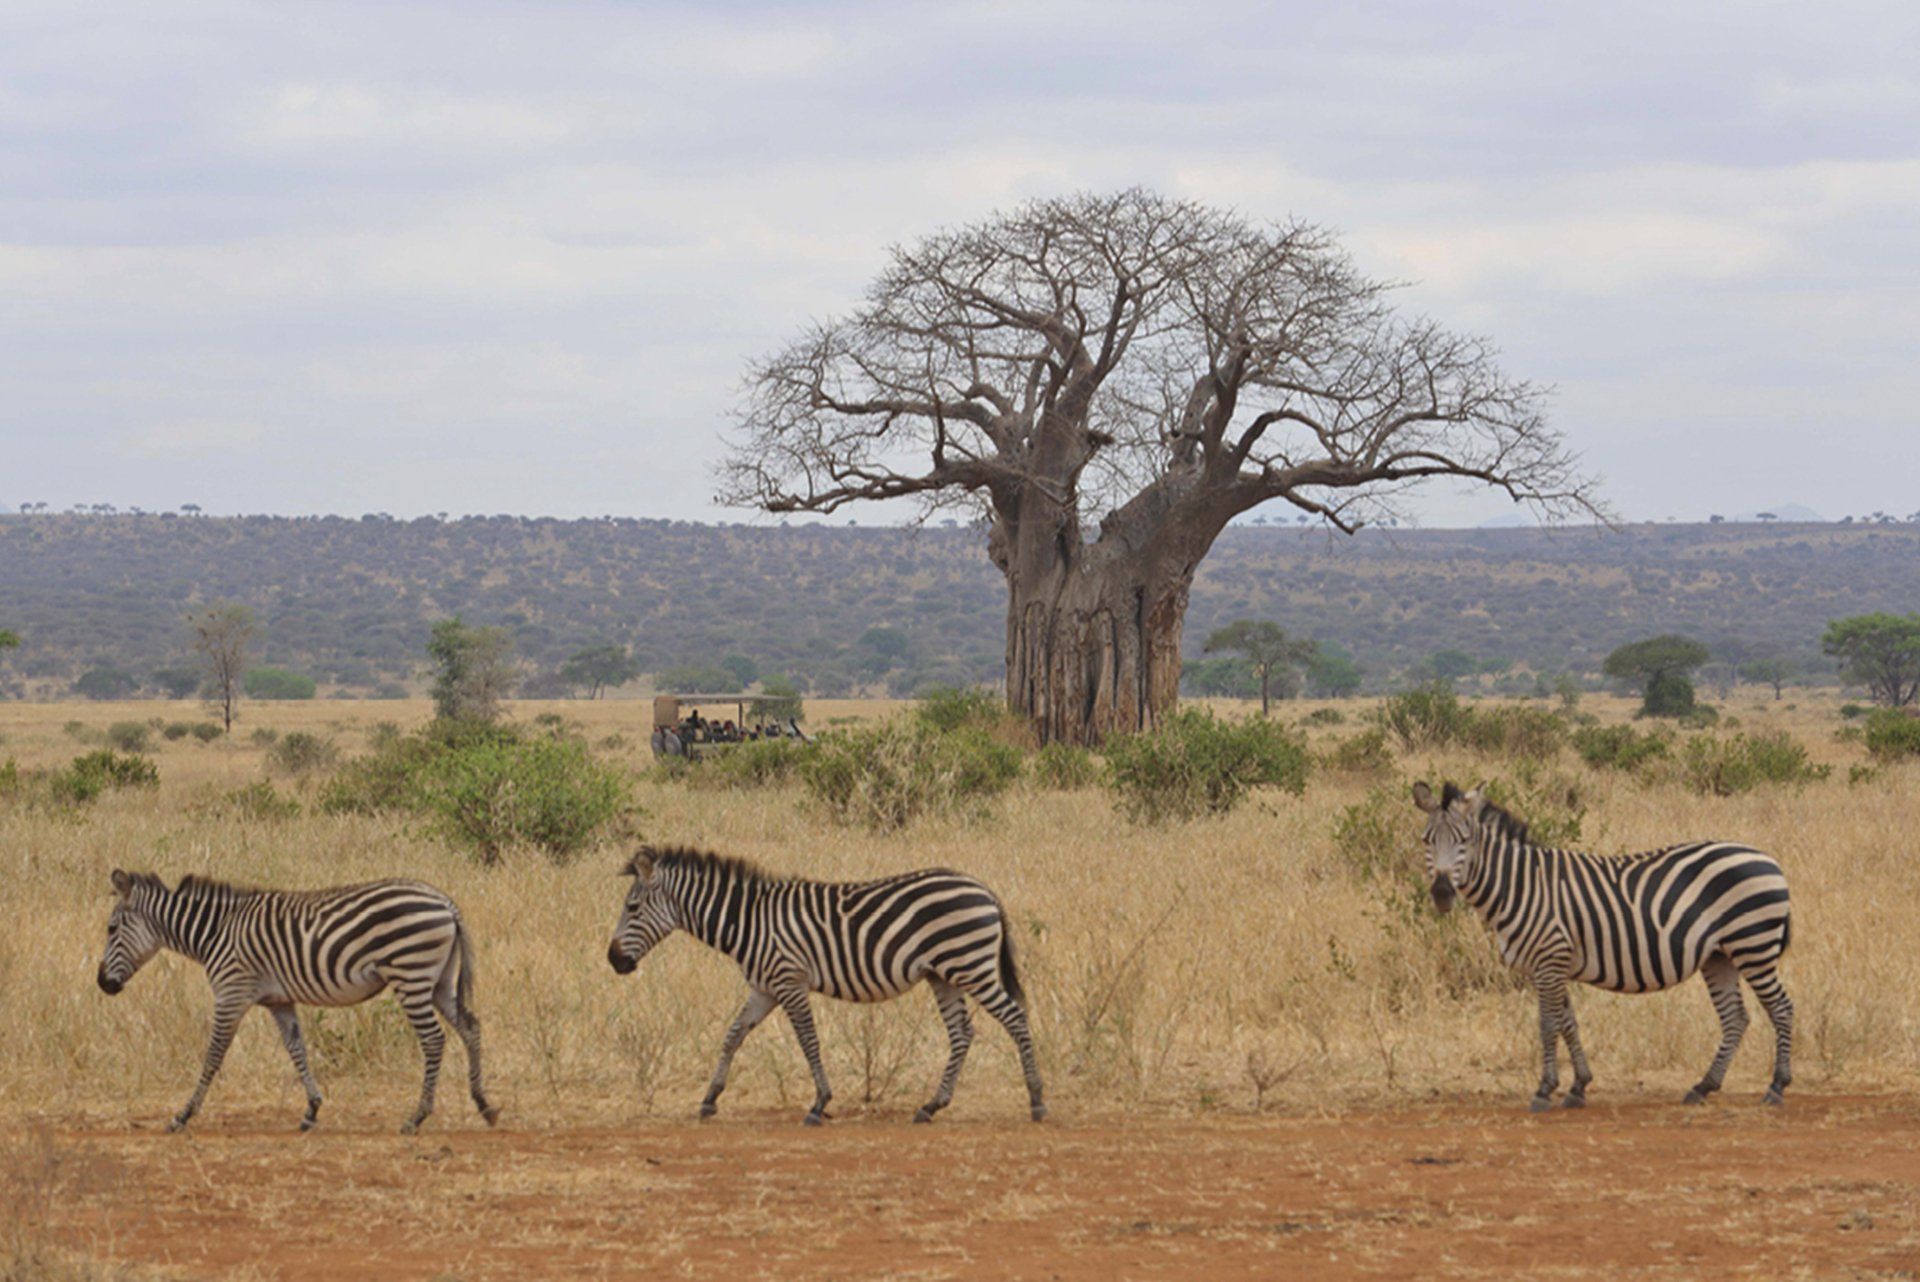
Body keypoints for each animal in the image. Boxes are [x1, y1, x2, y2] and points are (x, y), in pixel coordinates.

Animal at [97, 869, 500, 1134]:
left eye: (111, 929)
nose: (102, 984)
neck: (215, 933)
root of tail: (445, 902)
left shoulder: (231, 992)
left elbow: (213, 1055)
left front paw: (183, 1115)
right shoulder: (280, 1001)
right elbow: (297, 1049)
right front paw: (311, 1110)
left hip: (411, 974)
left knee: (433, 1039)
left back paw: (417, 1117)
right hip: (438, 981)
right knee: (471, 1028)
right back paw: (484, 1105)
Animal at [606, 845, 1046, 1126]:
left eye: (632, 908)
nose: (613, 960)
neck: (750, 922)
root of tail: (983, 889)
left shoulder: (789, 981)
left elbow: (808, 1041)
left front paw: (819, 1104)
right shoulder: (764, 988)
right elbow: (733, 1035)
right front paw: (710, 1098)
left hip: (970, 965)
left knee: (1015, 1018)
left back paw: (1037, 1101)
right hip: (944, 974)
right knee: (962, 1033)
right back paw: (932, 1105)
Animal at [1412, 781, 1794, 1112]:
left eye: (1464, 840)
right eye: (1427, 839)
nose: (1442, 894)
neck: (1519, 886)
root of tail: (1768, 859)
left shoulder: (1549, 959)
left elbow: (1547, 1024)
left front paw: (1544, 1090)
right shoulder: (1552, 964)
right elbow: (1568, 1022)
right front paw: (1578, 1086)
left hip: (1753, 946)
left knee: (1781, 1007)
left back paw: (1776, 1086)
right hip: (1720, 955)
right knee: (1736, 1018)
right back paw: (1703, 1086)